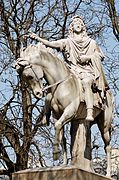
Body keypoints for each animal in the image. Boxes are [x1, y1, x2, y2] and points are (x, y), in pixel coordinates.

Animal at [15, 42, 113, 176]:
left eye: (29, 76)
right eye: (24, 78)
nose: (38, 94)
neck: (61, 83)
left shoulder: (70, 111)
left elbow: (58, 128)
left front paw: (56, 153)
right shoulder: (56, 115)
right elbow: (61, 136)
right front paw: (64, 163)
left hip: (104, 125)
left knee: (108, 146)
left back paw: (108, 174)